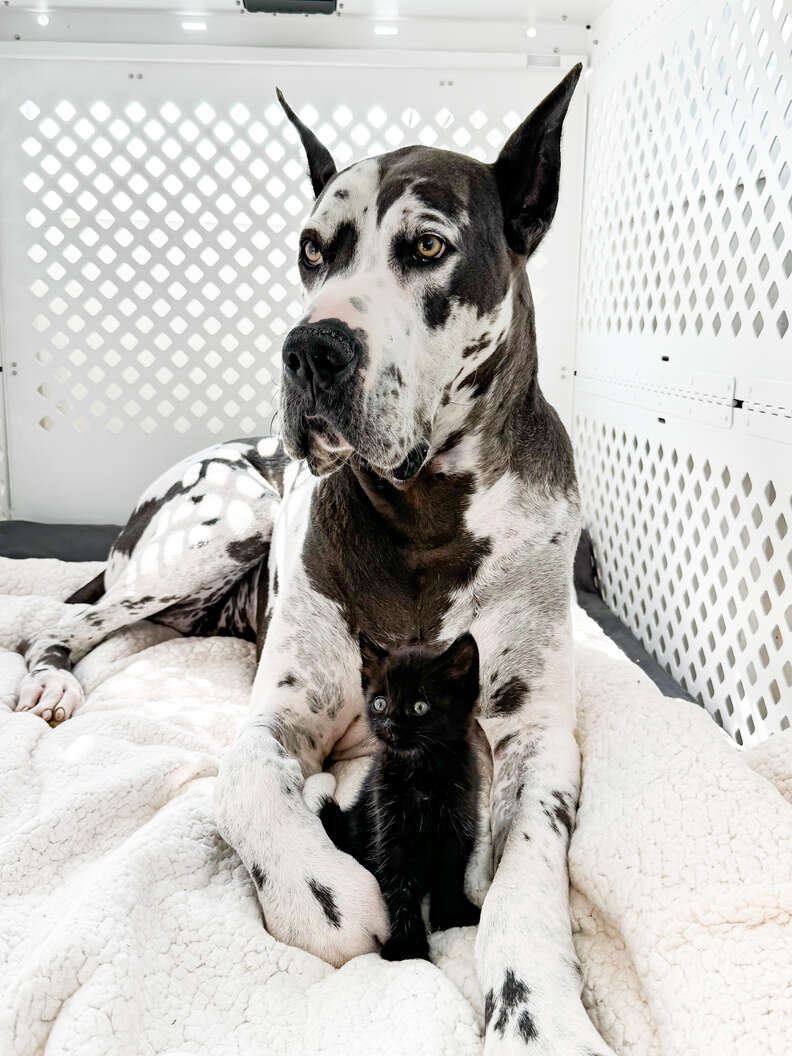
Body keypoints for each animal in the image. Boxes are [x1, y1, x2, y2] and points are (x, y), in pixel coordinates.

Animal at [318, 629, 481, 963]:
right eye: (380, 703)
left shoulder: (459, 821)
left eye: (420, 707)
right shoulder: (388, 828)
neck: (421, 775)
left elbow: (451, 871)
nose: (390, 723)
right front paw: (409, 947)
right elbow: (399, 884)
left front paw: (451, 917)